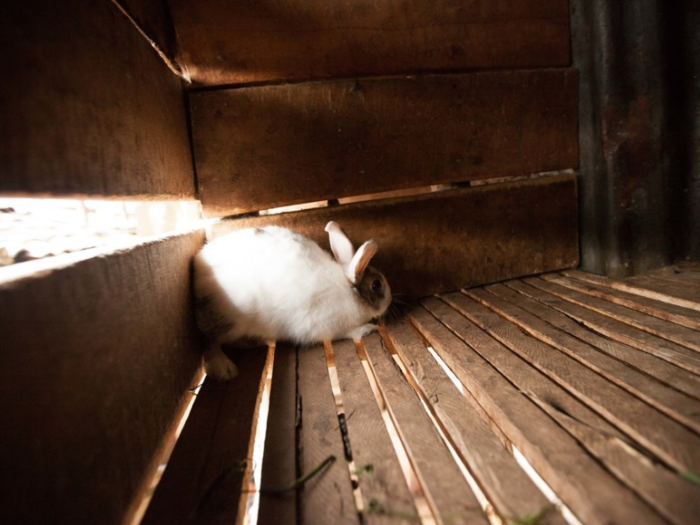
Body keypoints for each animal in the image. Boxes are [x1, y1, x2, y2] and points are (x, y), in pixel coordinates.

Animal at [191, 219, 392, 378]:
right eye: (376, 285)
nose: (390, 300)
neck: (349, 289)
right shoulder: (326, 327)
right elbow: (347, 333)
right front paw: (367, 329)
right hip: (227, 322)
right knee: (208, 343)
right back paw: (225, 369)